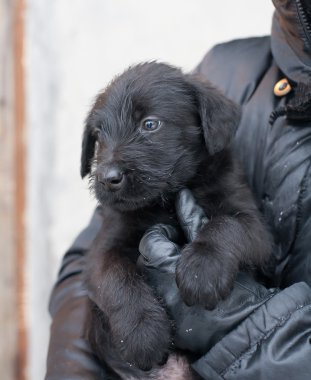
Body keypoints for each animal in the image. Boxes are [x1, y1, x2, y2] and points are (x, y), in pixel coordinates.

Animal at [81, 60, 272, 378]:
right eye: (99, 135)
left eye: (150, 124)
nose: (107, 178)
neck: (165, 201)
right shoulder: (104, 246)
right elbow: (116, 278)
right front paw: (141, 331)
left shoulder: (255, 226)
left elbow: (226, 225)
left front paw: (202, 269)